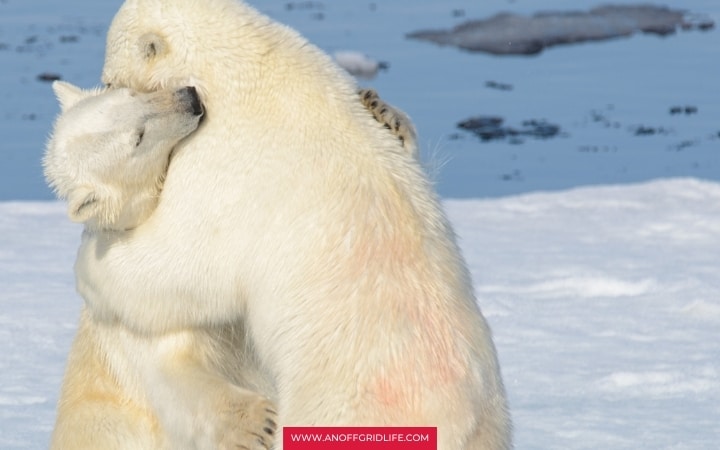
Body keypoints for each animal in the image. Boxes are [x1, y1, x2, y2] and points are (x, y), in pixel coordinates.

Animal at [45, 81, 279, 450]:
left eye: (128, 94)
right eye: (138, 138)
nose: (189, 97)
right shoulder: (138, 317)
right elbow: (173, 377)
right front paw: (259, 422)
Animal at [73, 0, 512, 448]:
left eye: (113, 81)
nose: (103, 85)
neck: (247, 68)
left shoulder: (219, 161)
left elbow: (185, 258)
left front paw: (89, 263)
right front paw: (384, 112)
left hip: (335, 409)